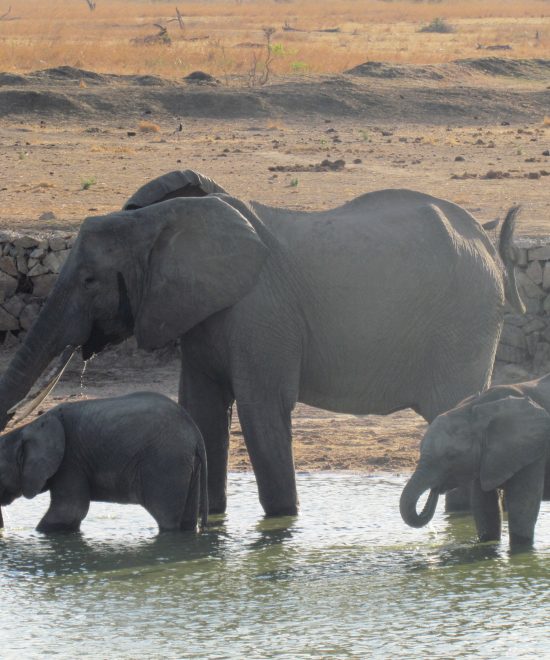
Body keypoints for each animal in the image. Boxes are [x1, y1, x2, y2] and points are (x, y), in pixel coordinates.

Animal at [0, 169, 524, 516]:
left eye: (90, 280)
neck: (165, 219)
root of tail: (489, 243)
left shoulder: (260, 311)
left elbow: (261, 409)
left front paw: (281, 527)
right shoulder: (200, 311)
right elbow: (203, 409)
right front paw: (208, 525)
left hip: (464, 320)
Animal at [0, 392, 209, 532]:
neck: (28, 428)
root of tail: (196, 433)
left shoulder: (70, 461)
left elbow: (69, 511)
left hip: (165, 463)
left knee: (166, 519)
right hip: (185, 465)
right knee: (187, 520)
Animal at [402, 376, 550, 548]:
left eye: (451, 455)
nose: (435, 488)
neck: (475, 408)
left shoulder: (531, 450)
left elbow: (521, 508)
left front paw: (521, 550)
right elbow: (485, 508)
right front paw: (487, 545)